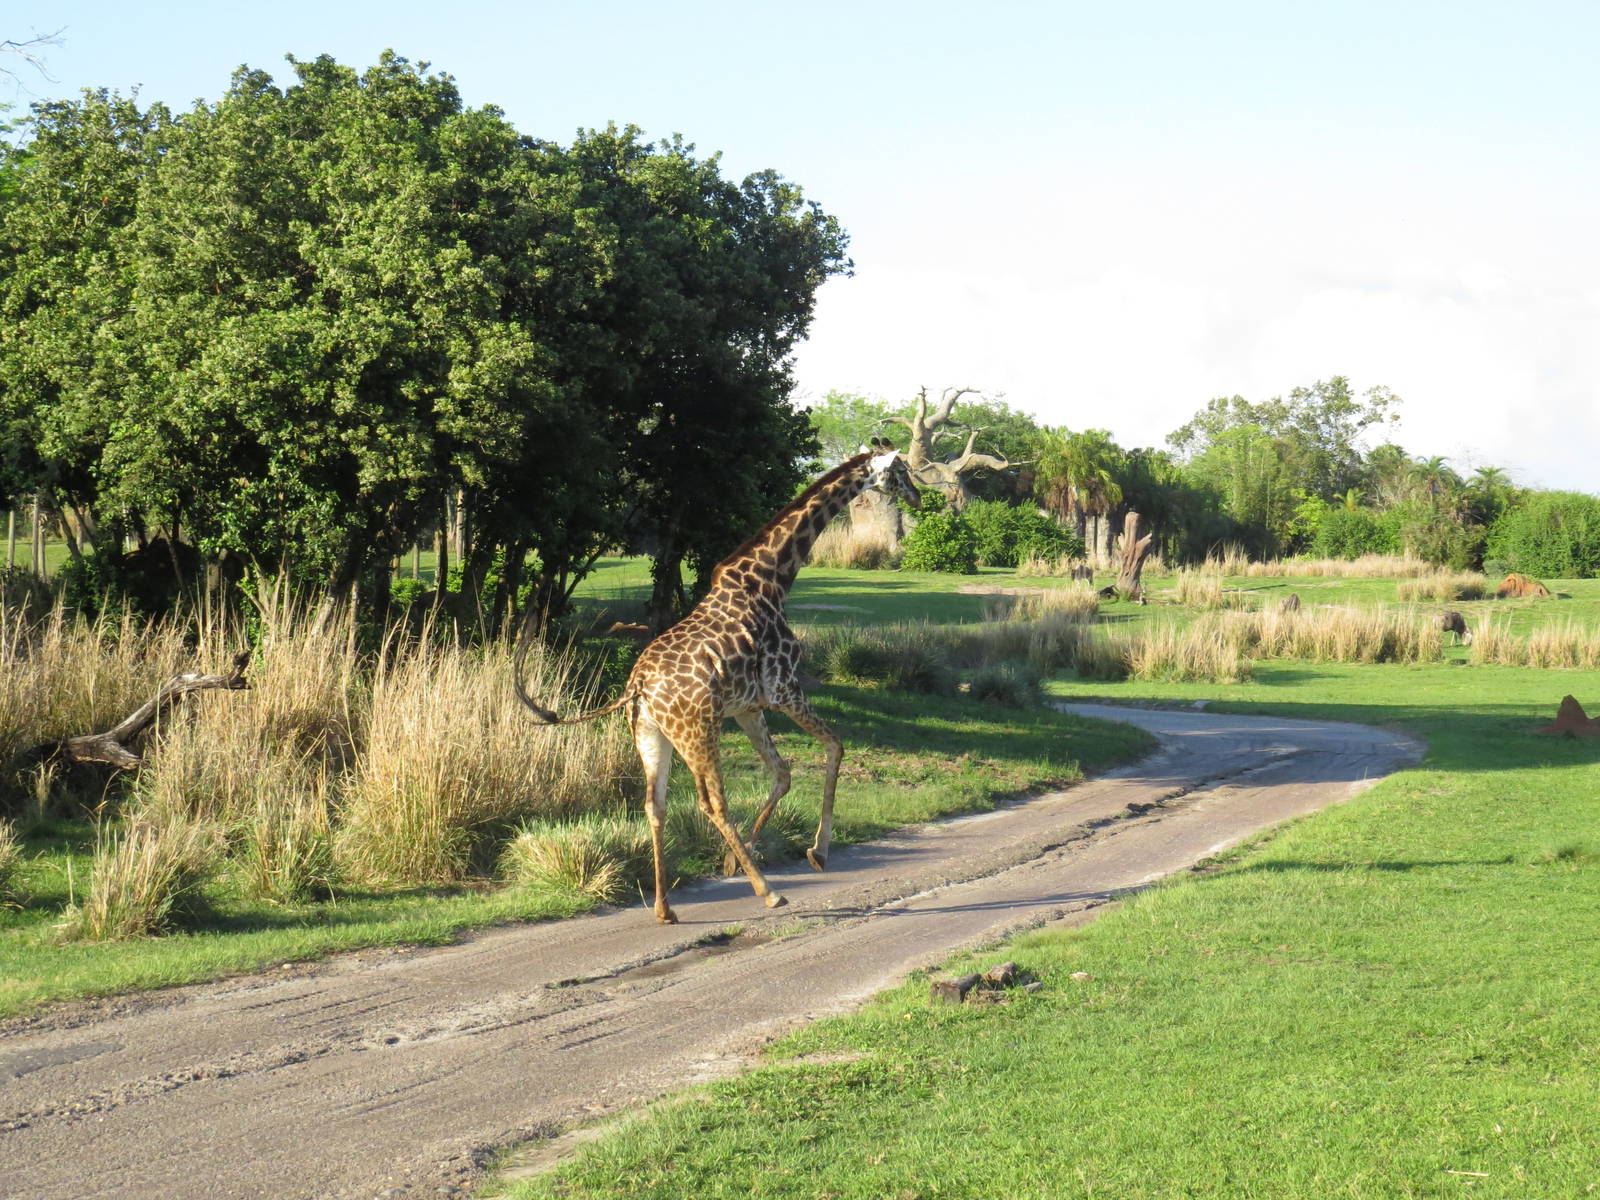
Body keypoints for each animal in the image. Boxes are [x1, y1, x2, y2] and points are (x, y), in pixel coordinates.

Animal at [517, 442, 921, 923]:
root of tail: (638, 687)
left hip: (651, 735)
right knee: (711, 801)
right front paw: (817, 852)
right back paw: (768, 892)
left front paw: (735, 861)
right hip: (697, 730)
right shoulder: (785, 689)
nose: (918, 496)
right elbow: (835, 745)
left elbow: (783, 773)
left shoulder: (749, 707)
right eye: (900, 470)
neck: (772, 579)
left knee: (655, 803)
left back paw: (665, 908)